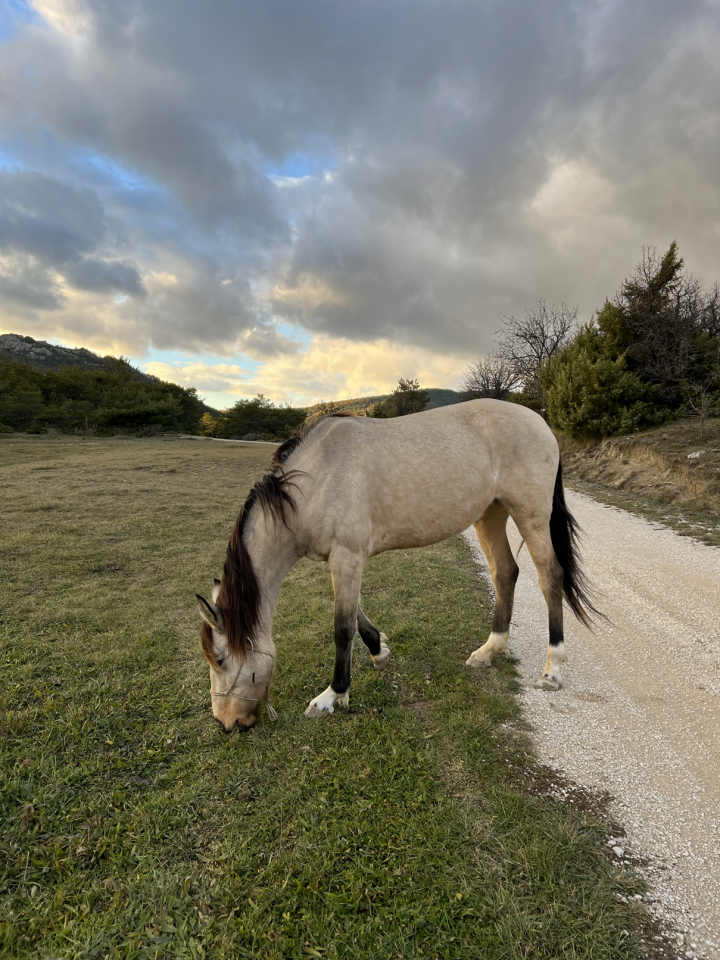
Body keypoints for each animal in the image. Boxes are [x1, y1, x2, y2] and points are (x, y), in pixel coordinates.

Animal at [196, 398, 598, 733]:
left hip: (531, 515)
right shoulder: (342, 560)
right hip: (491, 514)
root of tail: (540, 421)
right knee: (505, 573)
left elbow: (342, 627)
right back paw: (489, 651)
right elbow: (356, 615)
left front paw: (333, 695)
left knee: (550, 577)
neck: (316, 479)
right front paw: (379, 652)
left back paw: (552, 669)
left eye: (221, 659)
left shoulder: (347, 556)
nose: (226, 723)